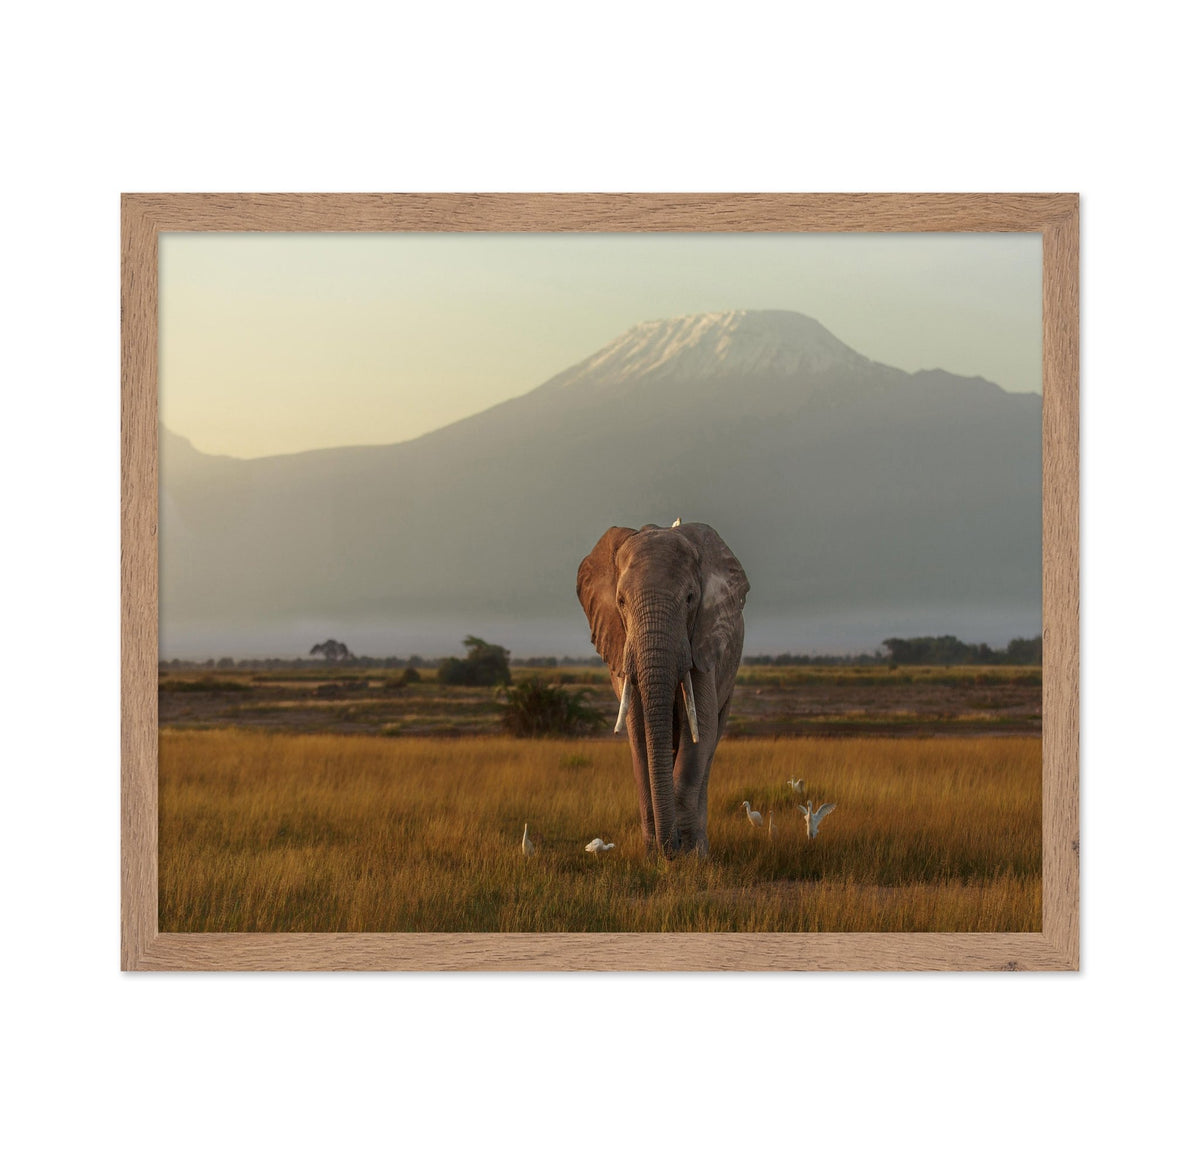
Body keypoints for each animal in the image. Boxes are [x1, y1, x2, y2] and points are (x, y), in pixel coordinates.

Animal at [577, 522, 749, 857]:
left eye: (690, 598)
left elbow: (700, 730)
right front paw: (653, 856)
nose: (671, 848)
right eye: (621, 602)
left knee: (711, 743)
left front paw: (691, 857)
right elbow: (639, 732)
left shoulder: (702, 641)